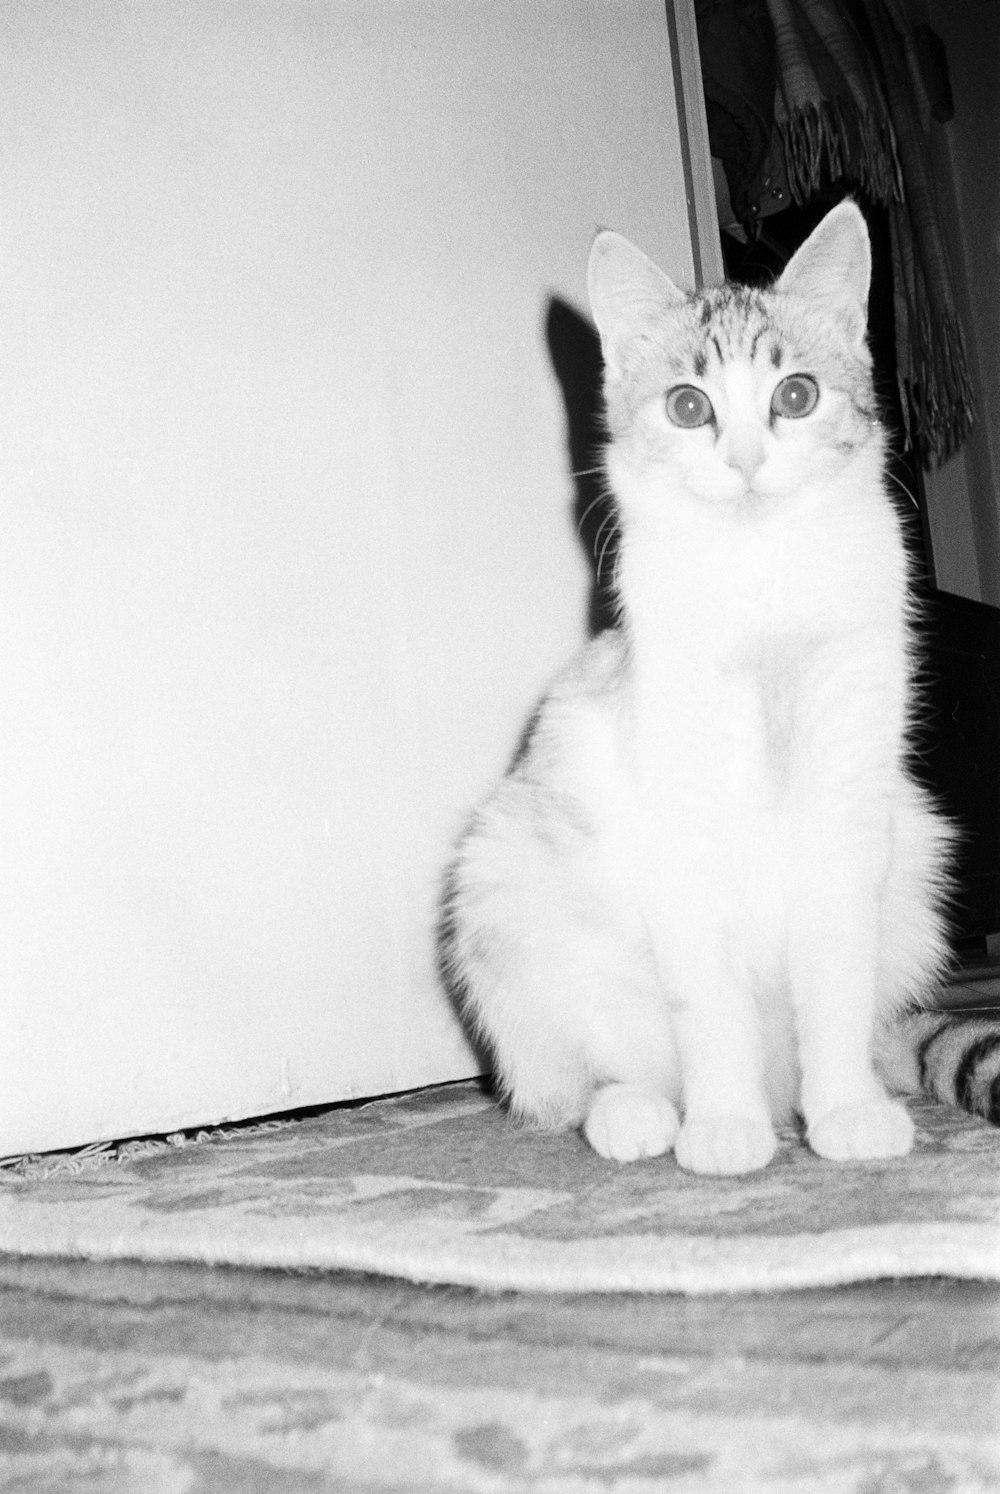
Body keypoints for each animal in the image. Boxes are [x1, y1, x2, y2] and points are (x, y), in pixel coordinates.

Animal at [445, 201, 998, 1177]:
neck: (762, 582)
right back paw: (637, 1112)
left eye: (796, 396)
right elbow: (708, 1001)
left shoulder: (848, 802)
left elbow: (835, 980)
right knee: (569, 1081)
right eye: (688, 406)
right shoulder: (682, 817)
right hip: (502, 887)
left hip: (915, 853)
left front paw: (845, 1111)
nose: (743, 459)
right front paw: (726, 1126)